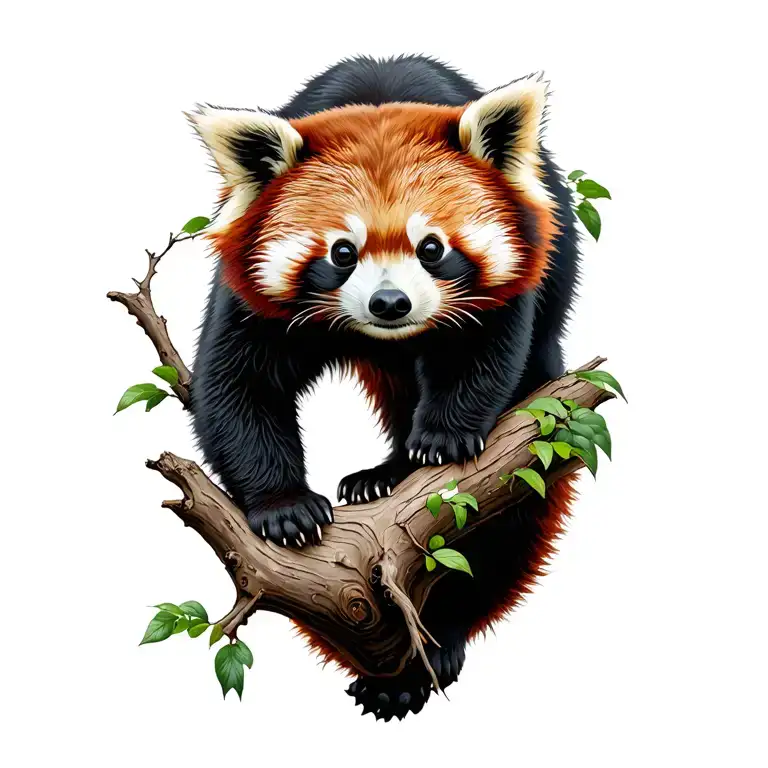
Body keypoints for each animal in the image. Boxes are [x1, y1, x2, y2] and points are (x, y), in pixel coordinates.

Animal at [189, 55, 580, 721]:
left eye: (432, 247)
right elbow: (237, 386)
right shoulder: (250, 292)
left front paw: (444, 439)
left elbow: (483, 353)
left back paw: (436, 625)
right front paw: (285, 509)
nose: (390, 303)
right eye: (342, 252)